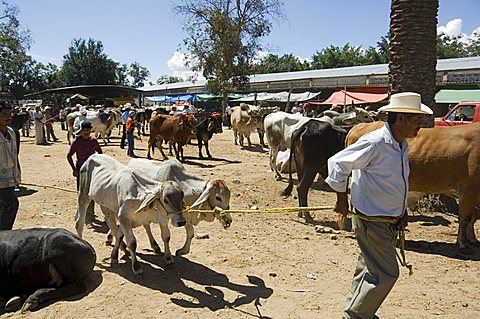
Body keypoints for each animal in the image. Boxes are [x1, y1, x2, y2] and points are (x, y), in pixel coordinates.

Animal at [344, 122, 480, 252]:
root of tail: (359, 126)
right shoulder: (468, 191)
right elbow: (465, 219)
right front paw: (463, 243)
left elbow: (473, 218)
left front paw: (472, 239)